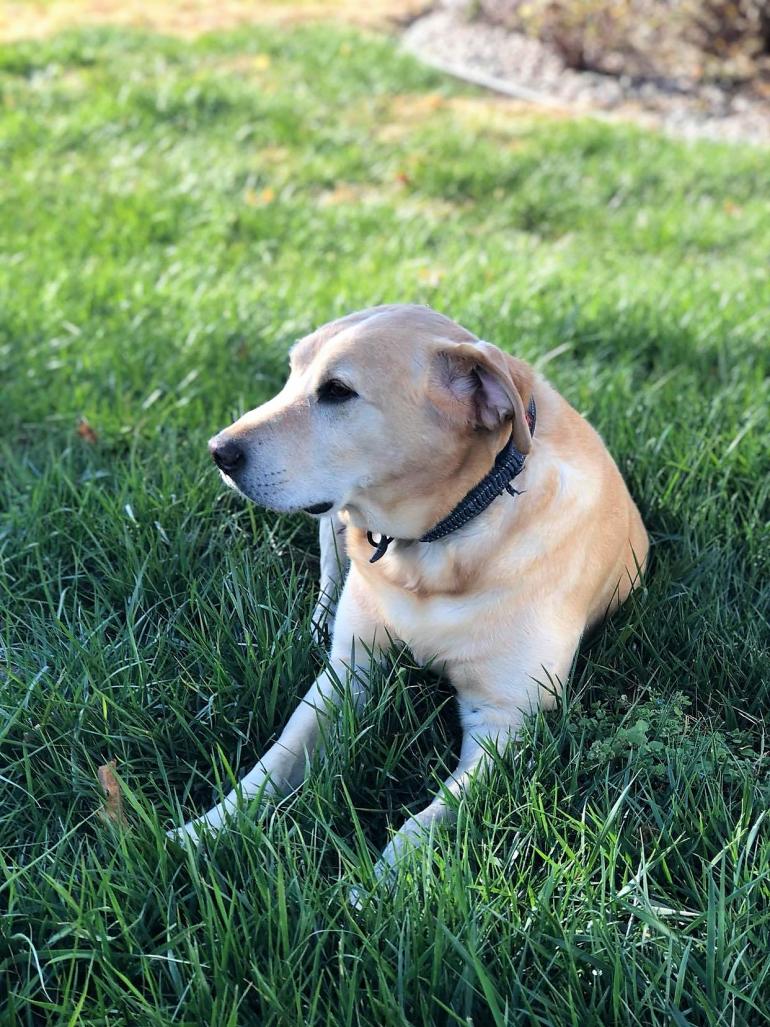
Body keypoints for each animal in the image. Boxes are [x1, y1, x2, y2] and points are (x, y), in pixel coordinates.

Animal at [170, 299, 652, 879]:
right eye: (291, 374)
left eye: (337, 391)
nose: (219, 451)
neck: (440, 540)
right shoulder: (349, 673)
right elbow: (275, 761)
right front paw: (202, 831)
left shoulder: (505, 720)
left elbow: (424, 824)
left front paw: (379, 885)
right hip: (332, 525)